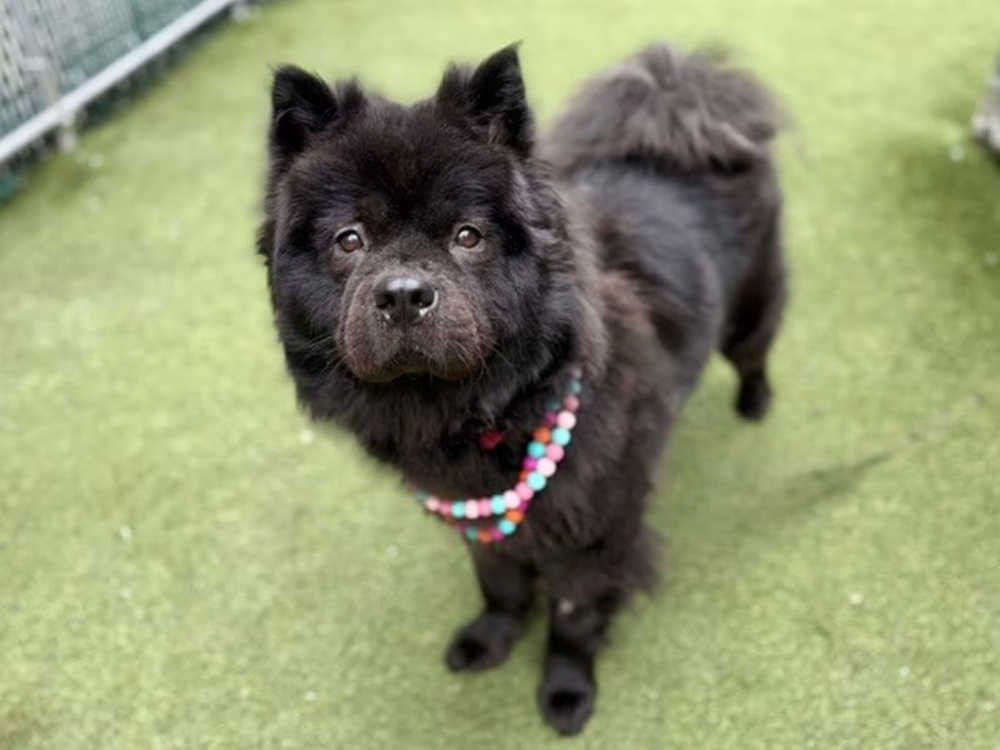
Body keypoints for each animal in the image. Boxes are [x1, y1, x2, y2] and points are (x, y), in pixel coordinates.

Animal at [257, 43, 786, 735]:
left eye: (467, 236)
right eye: (350, 240)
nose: (403, 294)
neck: (474, 414)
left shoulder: (594, 529)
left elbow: (573, 615)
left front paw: (565, 691)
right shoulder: (477, 516)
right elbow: (499, 583)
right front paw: (490, 639)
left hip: (751, 314)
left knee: (754, 356)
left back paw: (755, 403)